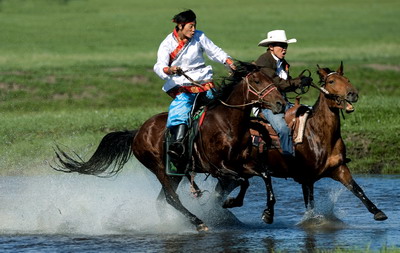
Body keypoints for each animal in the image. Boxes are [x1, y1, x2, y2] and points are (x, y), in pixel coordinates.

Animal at [53, 61, 286, 231]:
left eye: (270, 79)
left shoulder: (243, 163)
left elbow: (265, 176)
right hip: (160, 169)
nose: (280, 104)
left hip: (175, 172)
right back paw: (198, 223)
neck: (227, 123)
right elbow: (243, 182)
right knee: (171, 198)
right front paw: (230, 203)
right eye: (257, 81)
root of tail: (137, 133)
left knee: (162, 200)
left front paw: (268, 214)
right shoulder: (218, 168)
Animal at [216, 62, 388, 223]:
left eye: (347, 79)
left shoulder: (339, 168)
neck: (317, 133)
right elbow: (310, 205)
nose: (353, 94)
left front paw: (378, 212)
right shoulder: (307, 178)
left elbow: (357, 189)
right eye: (331, 81)